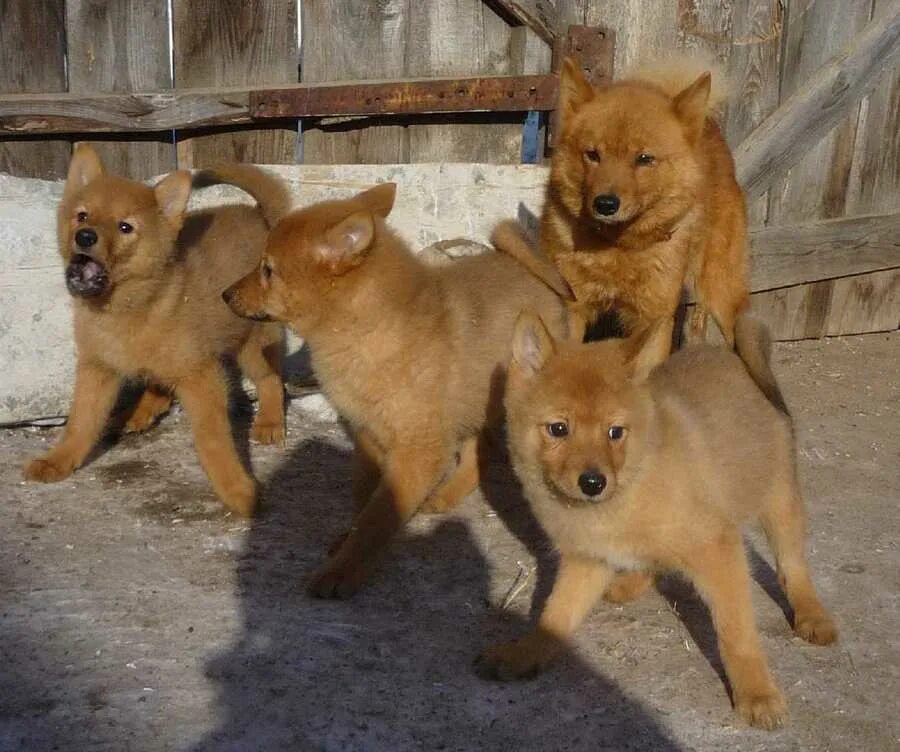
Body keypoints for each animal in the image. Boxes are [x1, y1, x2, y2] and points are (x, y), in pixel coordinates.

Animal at [222, 184, 568, 600]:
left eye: (268, 270)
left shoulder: (418, 449)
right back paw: (447, 494)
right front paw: (345, 543)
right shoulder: (369, 435)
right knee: (476, 449)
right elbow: (364, 503)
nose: (225, 294)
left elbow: (377, 518)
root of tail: (530, 270)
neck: (366, 331)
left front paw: (342, 571)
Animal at [478, 312, 836, 728]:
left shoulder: (718, 549)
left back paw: (812, 615)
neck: (629, 488)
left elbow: (736, 632)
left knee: (792, 566)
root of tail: (735, 358)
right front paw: (526, 652)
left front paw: (756, 692)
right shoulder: (586, 560)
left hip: (778, 500)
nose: (593, 483)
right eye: (558, 429)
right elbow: (556, 614)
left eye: (615, 432)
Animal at [544, 56, 748, 344]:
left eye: (644, 159)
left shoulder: (655, 317)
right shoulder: (572, 309)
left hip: (721, 294)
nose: (605, 204)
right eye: (593, 154)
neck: (618, 244)